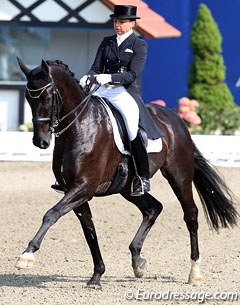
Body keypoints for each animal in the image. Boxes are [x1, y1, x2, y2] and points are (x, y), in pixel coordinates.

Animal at [15, 57, 238, 288]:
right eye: (28, 98)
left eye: (48, 97)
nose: (40, 141)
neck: (80, 126)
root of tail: (176, 119)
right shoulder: (75, 191)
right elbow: (89, 231)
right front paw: (97, 276)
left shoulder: (84, 187)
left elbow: (51, 214)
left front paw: (27, 255)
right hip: (128, 187)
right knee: (153, 208)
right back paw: (137, 261)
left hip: (179, 177)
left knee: (191, 216)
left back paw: (194, 273)